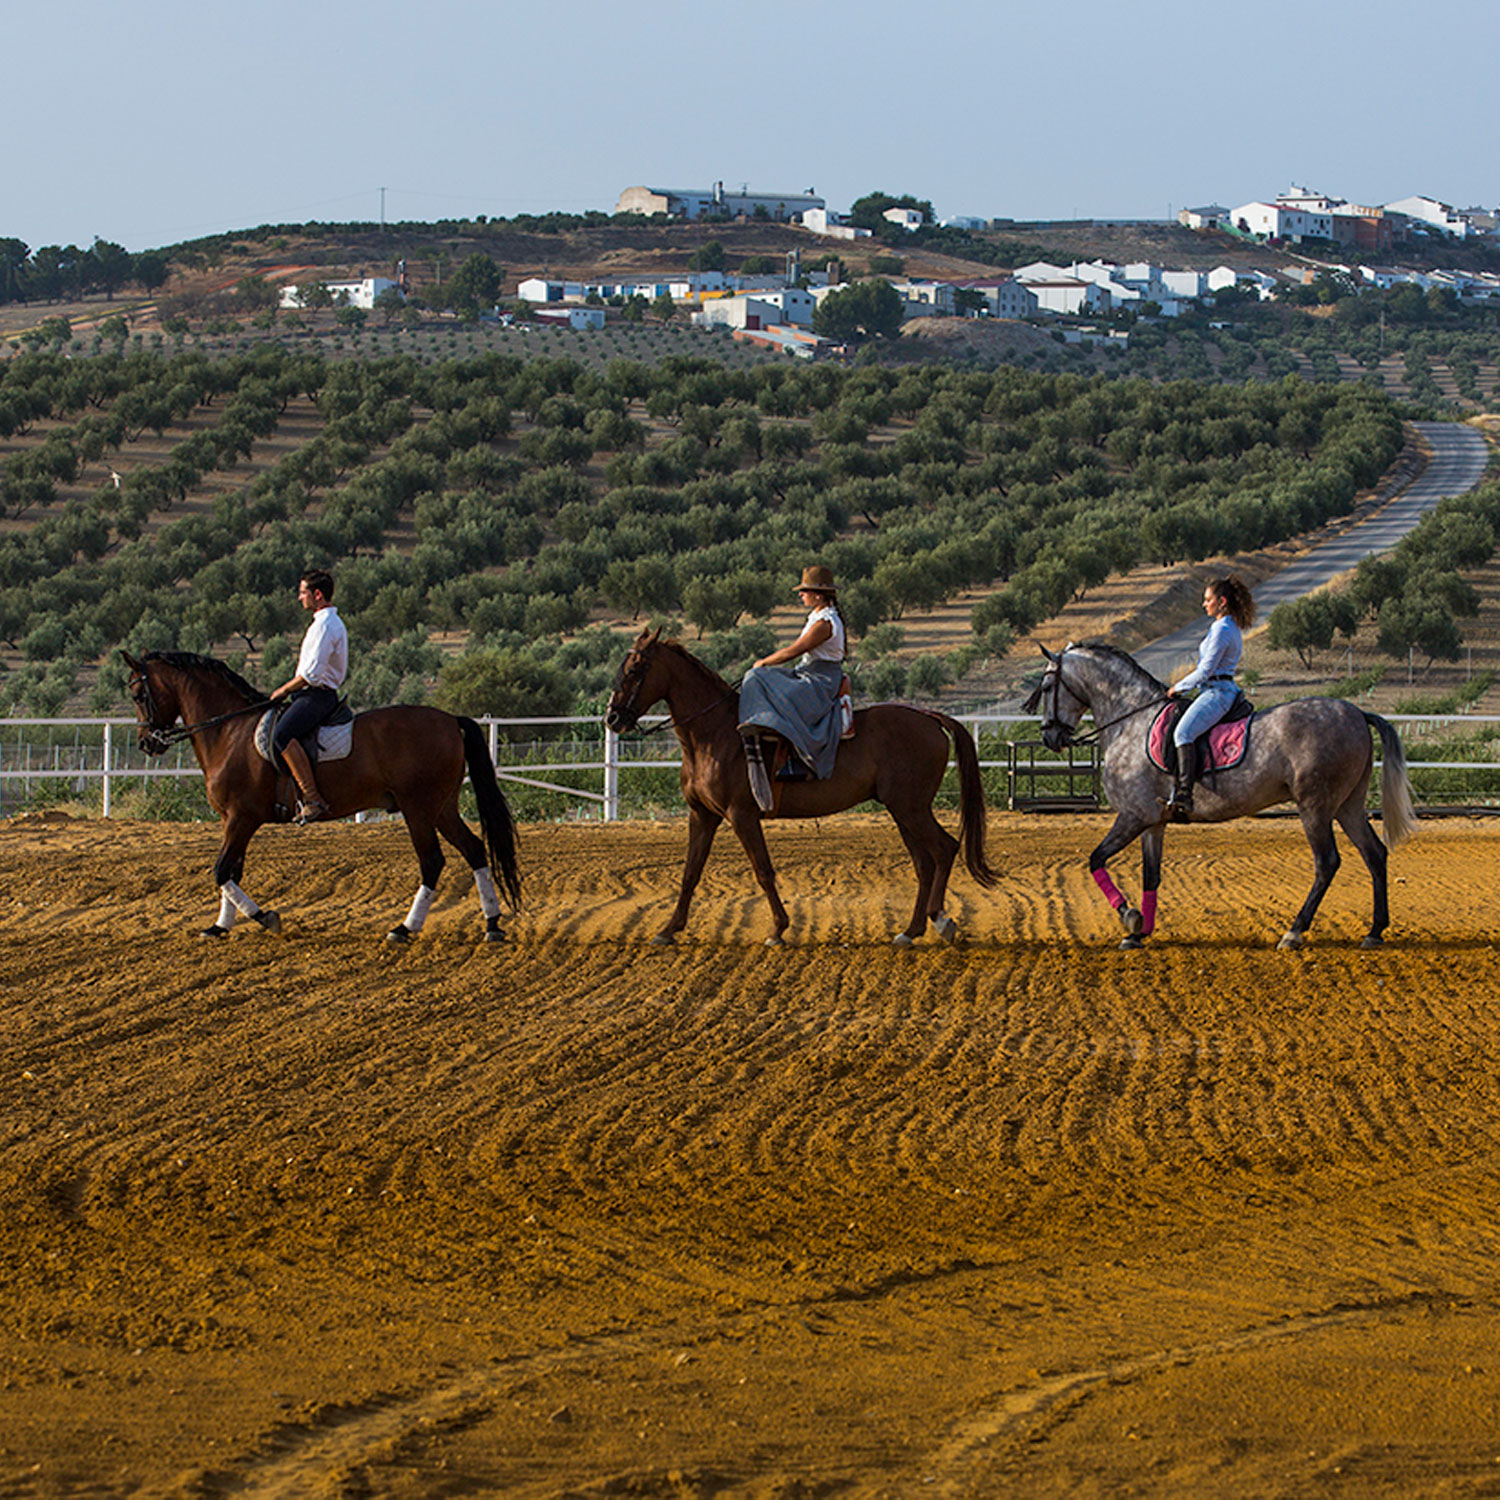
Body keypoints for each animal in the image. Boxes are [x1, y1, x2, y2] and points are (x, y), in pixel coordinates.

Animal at [123, 651, 522, 942]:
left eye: (139, 694)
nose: (146, 743)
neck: (230, 731)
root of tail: (450, 719)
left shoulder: (241, 817)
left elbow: (222, 869)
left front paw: (265, 918)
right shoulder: (232, 820)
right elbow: (232, 869)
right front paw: (220, 926)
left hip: (418, 809)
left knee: (432, 861)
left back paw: (405, 929)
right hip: (442, 807)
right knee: (474, 850)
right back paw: (492, 925)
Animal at [597, 627, 996, 942]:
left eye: (635, 669)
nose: (612, 718)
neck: (714, 735)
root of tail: (928, 716)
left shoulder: (741, 815)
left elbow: (762, 870)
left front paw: (778, 929)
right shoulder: (703, 815)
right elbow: (690, 872)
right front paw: (668, 929)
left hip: (911, 809)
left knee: (944, 849)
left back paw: (940, 920)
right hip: (903, 811)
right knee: (924, 863)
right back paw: (911, 931)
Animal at [1020, 642, 1416, 948]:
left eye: (1047, 685)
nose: (1049, 737)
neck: (1130, 722)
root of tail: (1356, 712)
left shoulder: (1133, 816)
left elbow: (1096, 859)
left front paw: (1130, 919)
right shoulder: (1153, 823)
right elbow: (1151, 876)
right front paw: (1141, 932)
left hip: (1315, 808)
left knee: (1327, 862)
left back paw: (1294, 932)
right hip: (1347, 806)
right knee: (1374, 854)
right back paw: (1374, 931)